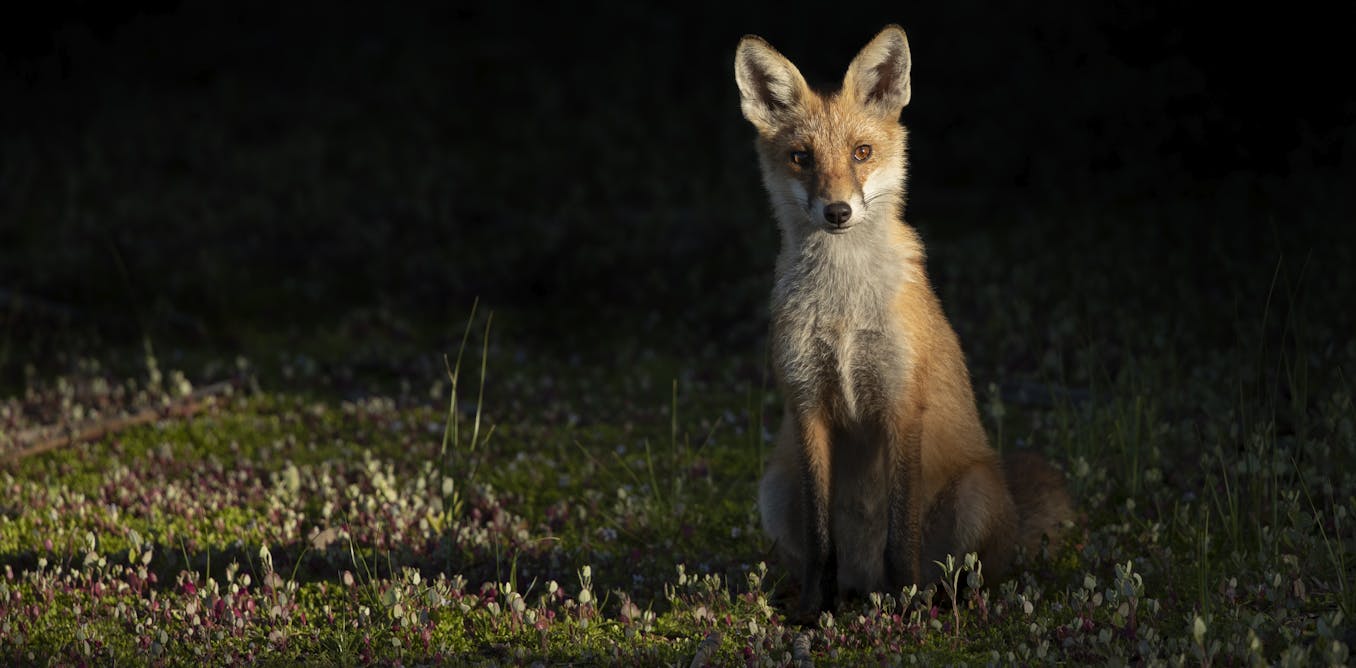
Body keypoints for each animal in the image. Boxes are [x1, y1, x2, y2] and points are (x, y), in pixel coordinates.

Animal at [734, 25, 1074, 620]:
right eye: (801, 157)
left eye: (862, 152)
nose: (838, 212)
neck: (844, 313)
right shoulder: (806, 403)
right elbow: (820, 540)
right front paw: (811, 614)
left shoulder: (899, 403)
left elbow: (901, 539)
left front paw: (906, 614)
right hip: (774, 487)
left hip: (975, 492)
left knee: (957, 573)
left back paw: (928, 602)